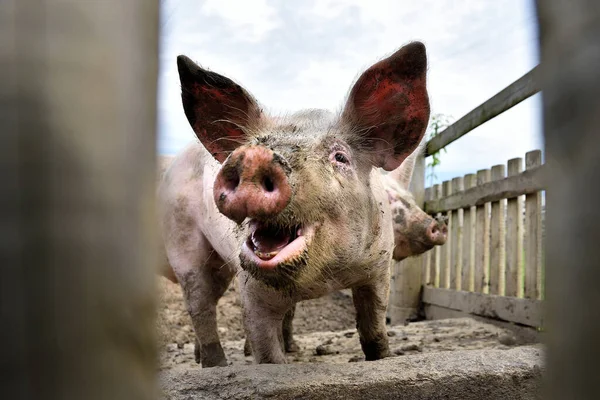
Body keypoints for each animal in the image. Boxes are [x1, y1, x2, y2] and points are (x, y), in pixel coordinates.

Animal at [158, 42, 432, 368]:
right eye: (255, 145)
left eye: (340, 156)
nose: (253, 156)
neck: (325, 279)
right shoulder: (251, 288)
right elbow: (267, 351)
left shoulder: (378, 268)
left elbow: (374, 331)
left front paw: (378, 358)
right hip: (183, 242)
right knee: (199, 304)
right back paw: (216, 366)